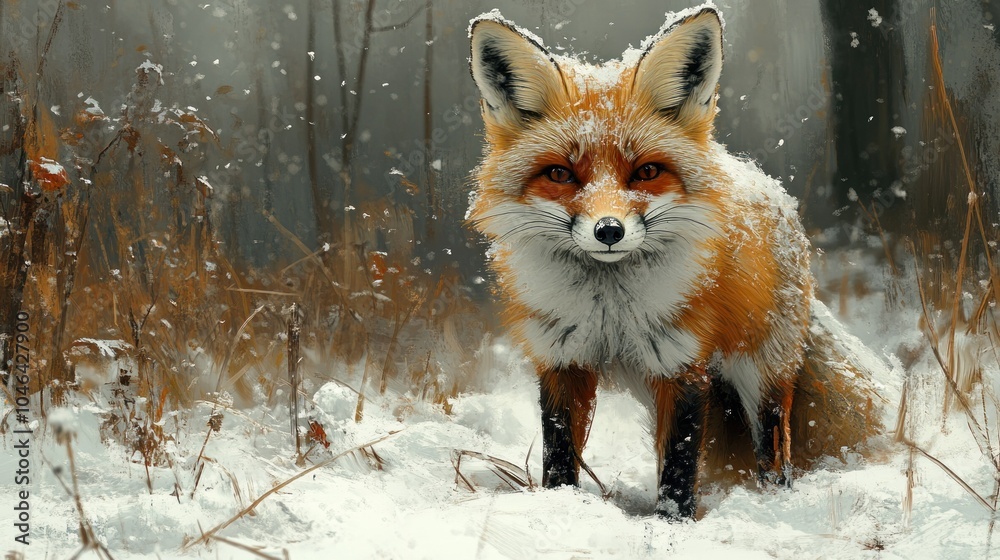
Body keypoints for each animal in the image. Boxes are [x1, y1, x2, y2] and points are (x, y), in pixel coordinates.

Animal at [466, 4, 883, 519]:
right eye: (560, 174)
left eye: (646, 171)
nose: (609, 231)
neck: (611, 310)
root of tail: (768, 185)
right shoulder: (562, 357)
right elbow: (559, 453)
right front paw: (561, 505)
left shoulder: (681, 361)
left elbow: (680, 463)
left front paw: (673, 523)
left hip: (762, 374)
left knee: (775, 452)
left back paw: (772, 502)